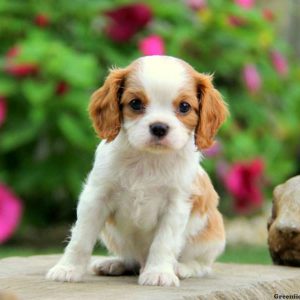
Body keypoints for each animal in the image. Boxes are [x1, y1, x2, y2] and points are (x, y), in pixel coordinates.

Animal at [47, 55, 229, 288]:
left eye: (184, 107)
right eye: (135, 103)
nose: (159, 127)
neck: (148, 158)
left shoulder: (176, 204)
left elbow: (163, 242)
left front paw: (159, 273)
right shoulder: (96, 196)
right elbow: (81, 237)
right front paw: (67, 268)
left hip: (212, 236)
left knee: (203, 266)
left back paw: (182, 268)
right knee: (130, 260)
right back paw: (114, 263)